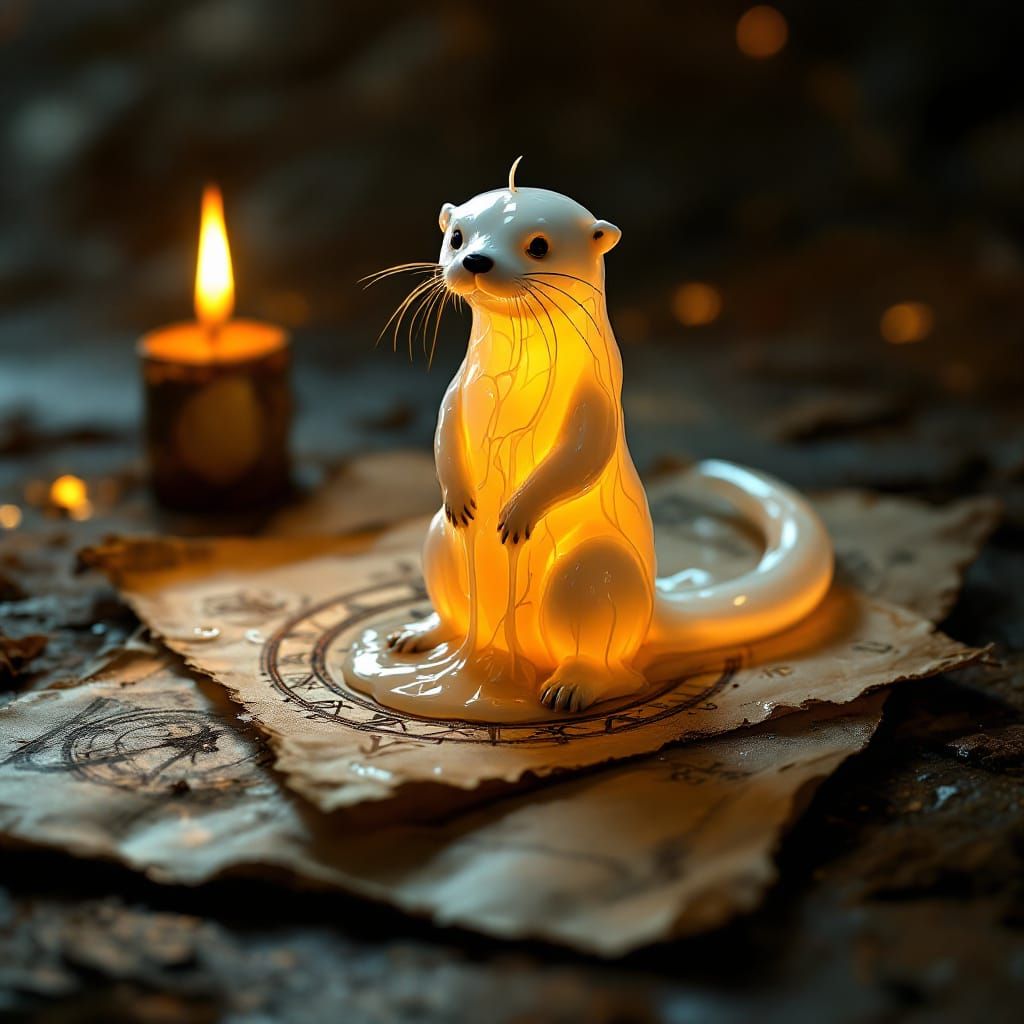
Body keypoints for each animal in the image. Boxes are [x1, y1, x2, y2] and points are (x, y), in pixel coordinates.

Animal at [344, 162, 833, 722]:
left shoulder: (595, 395)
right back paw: (424, 639)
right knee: (454, 602)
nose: (475, 259)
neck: (518, 369)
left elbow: (585, 452)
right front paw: (460, 493)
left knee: (613, 665)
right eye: (457, 236)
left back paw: (568, 684)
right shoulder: (460, 387)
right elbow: (444, 430)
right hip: (439, 540)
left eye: (538, 244)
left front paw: (518, 513)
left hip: (591, 573)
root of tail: (654, 613)